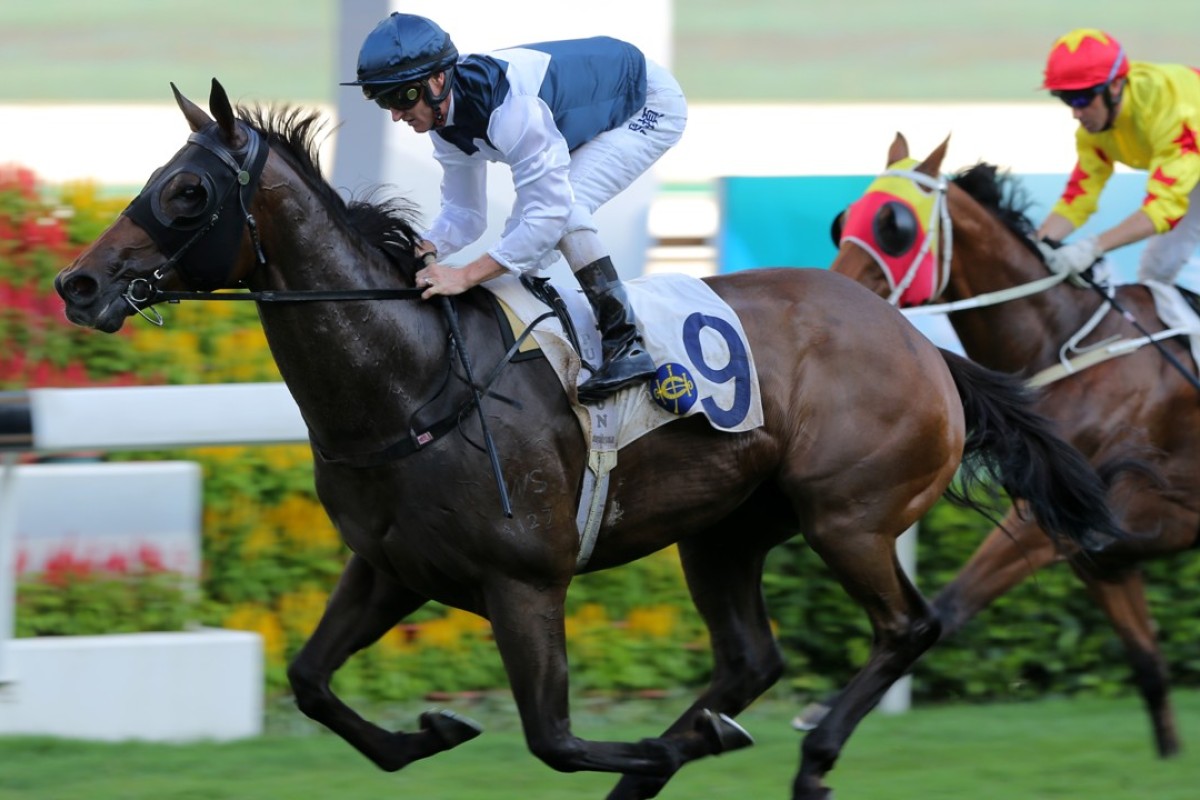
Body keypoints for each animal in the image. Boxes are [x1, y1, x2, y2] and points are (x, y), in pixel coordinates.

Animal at [54, 82, 1123, 800]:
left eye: (188, 193)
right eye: (155, 177)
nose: (79, 283)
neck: (413, 380)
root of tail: (919, 341)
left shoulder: (525, 582)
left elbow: (553, 738)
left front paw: (662, 747)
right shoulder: (390, 567)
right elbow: (311, 682)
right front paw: (428, 734)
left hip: (848, 515)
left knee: (907, 627)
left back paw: (801, 757)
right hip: (725, 530)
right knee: (751, 660)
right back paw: (692, 746)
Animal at [825, 134, 1200, 762]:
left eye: (894, 226)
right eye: (843, 221)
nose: (838, 288)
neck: (1063, 342)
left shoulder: (1054, 521)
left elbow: (950, 605)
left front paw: (824, 710)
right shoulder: (1097, 551)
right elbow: (1149, 664)